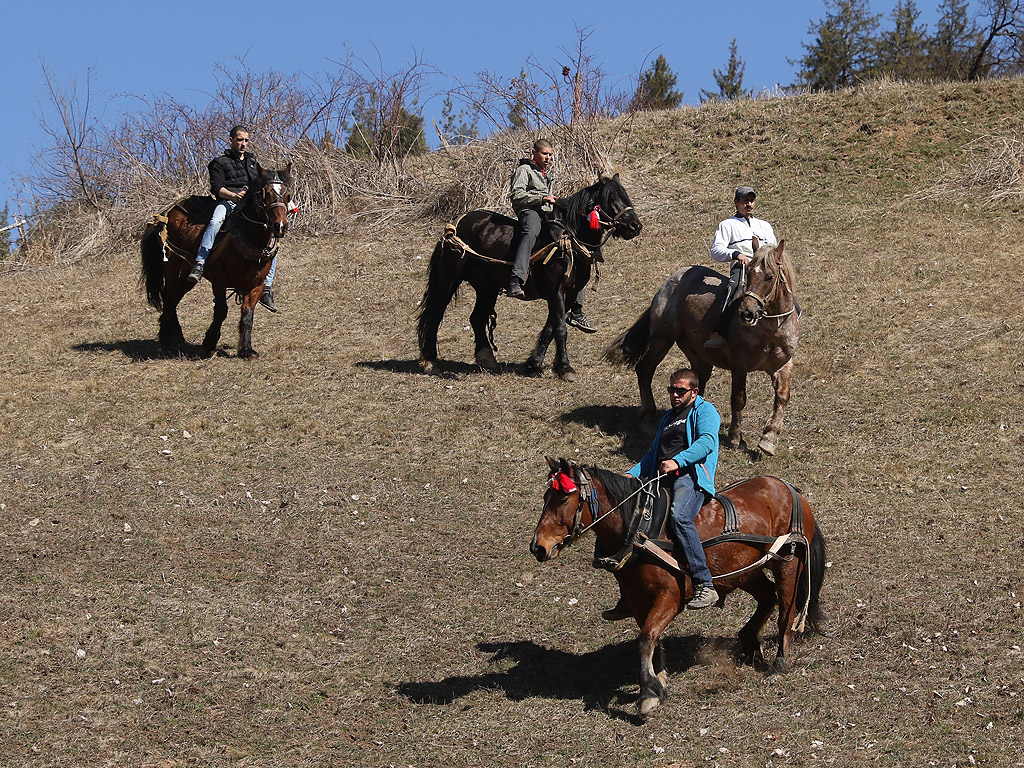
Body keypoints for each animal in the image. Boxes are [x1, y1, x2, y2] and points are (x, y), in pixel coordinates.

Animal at [140, 163, 294, 360]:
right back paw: (171, 338)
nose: (279, 226)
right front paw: (209, 343)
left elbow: (247, 315)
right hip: (173, 268)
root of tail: (166, 215)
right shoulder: (220, 279)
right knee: (168, 297)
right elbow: (221, 310)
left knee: (173, 299)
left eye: (288, 196)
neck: (248, 236)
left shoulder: (256, 285)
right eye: (265, 194)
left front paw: (246, 350)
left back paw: (172, 336)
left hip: (185, 275)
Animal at [415, 173, 638, 380]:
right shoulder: (556, 293)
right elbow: (560, 329)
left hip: (487, 287)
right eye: (611, 198)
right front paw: (565, 368)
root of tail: (455, 225)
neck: (569, 239)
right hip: (448, 280)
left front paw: (534, 364)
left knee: (477, 318)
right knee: (435, 315)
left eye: (624, 195)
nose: (635, 226)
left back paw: (487, 359)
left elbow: (550, 329)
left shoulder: (570, 294)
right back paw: (430, 362)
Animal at [532, 456, 827, 716]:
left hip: (788, 563)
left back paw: (779, 662)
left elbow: (646, 638)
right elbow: (651, 638)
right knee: (768, 596)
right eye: (545, 497)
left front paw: (648, 693)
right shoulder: (638, 601)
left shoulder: (670, 598)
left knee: (786, 610)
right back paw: (749, 641)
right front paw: (659, 682)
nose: (538, 547)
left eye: (562, 498)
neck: (641, 529)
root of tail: (789, 489)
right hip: (745, 570)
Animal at [606, 240, 798, 456]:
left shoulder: (783, 365)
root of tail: (670, 282)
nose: (747, 313)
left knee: (697, 380)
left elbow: (782, 397)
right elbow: (738, 398)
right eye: (748, 273)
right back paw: (647, 419)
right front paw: (735, 438)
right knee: (645, 369)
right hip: (663, 338)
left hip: (698, 356)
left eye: (770, 276)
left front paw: (768, 439)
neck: (771, 328)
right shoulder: (740, 364)